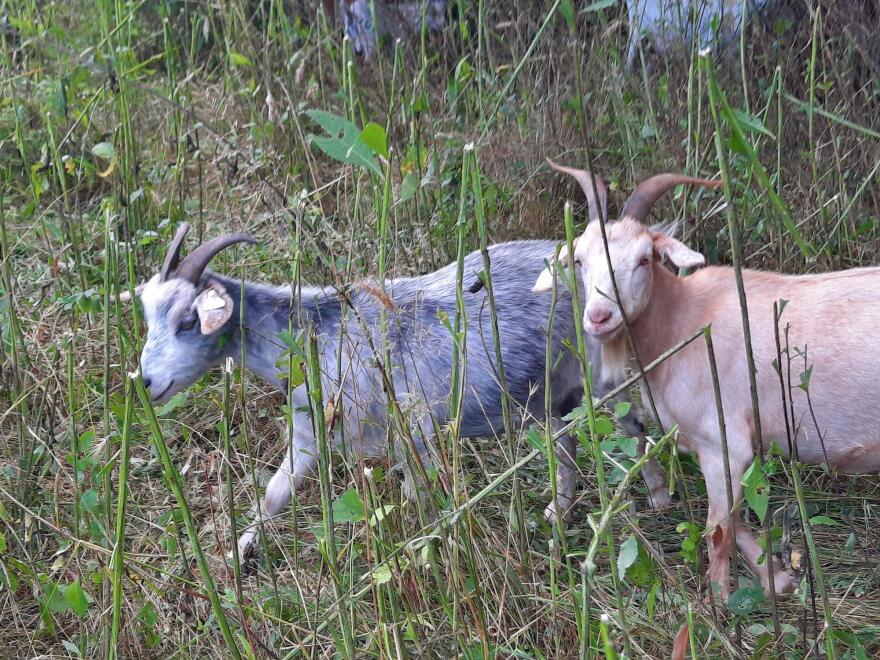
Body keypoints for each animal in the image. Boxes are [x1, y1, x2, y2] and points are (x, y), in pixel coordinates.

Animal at [124, 222, 661, 558]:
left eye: (188, 320)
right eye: (147, 316)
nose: (146, 384)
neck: (320, 334)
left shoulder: (413, 432)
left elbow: (416, 500)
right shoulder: (311, 431)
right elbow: (274, 494)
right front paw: (237, 552)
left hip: (598, 377)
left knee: (632, 425)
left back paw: (656, 501)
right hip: (548, 389)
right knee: (565, 438)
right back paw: (558, 510)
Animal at [534, 163, 880, 599]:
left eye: (644, 259)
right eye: (579, 260)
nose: (599, 317)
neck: (684, 321)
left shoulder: (723, 443)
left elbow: (718, 531)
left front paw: (718, 604)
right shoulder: (712, 448)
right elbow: (737, 521)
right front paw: (777, 580)